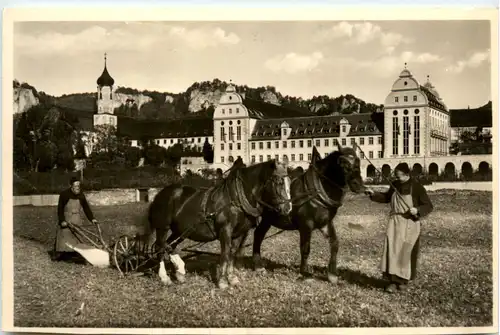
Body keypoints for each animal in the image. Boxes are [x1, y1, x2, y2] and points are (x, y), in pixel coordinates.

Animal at [144, 159, 292, 290]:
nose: (288, 208)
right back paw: (165, 277)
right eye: (279, 182)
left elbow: (232, 253)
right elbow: (225, 254)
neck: (236, 199)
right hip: (163, 227)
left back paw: (180, 271)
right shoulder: (225, 230)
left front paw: (232, 278)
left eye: (289, 182)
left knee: (170, 245)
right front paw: (222, 282)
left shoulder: (238, 233)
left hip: (181, 230)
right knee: (160, 246)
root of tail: (160, 194)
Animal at [238, 146, 364, 284]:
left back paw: (257, 264)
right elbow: (305, 248)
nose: (358, 184)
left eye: (358, 161)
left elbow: (335, 243)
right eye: (343, 163)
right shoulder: (306, 225)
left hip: (267, 219)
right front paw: (305, 273)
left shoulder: (325, 223)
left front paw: (332, 274)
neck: (316, 191)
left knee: (258, 235)